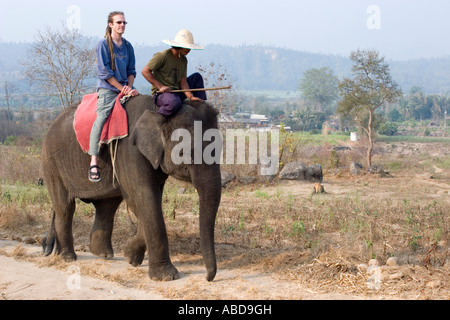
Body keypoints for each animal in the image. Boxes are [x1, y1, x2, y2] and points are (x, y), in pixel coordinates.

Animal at [41, 96, 221, 282]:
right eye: (185, 153)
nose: (208, 278)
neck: (156, 110)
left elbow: (148, 201)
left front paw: (130, 257)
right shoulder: (129, 153)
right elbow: (144, 198)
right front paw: (166, 276)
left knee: (107, 206)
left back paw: (102, 254)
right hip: (52, 164)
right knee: (65, 208)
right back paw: (68, 257)